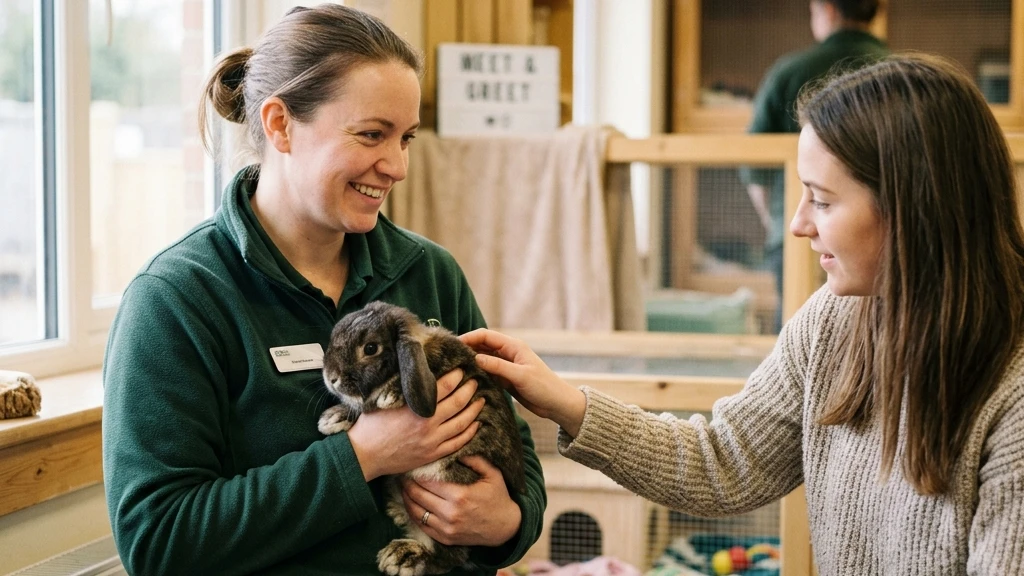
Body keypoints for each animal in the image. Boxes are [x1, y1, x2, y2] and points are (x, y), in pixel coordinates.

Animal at [318, 301, 527, 576]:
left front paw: (390, 394)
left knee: (448, 556)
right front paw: (332, 419)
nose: (331, 378)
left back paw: (402, 556)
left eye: (371, 348)